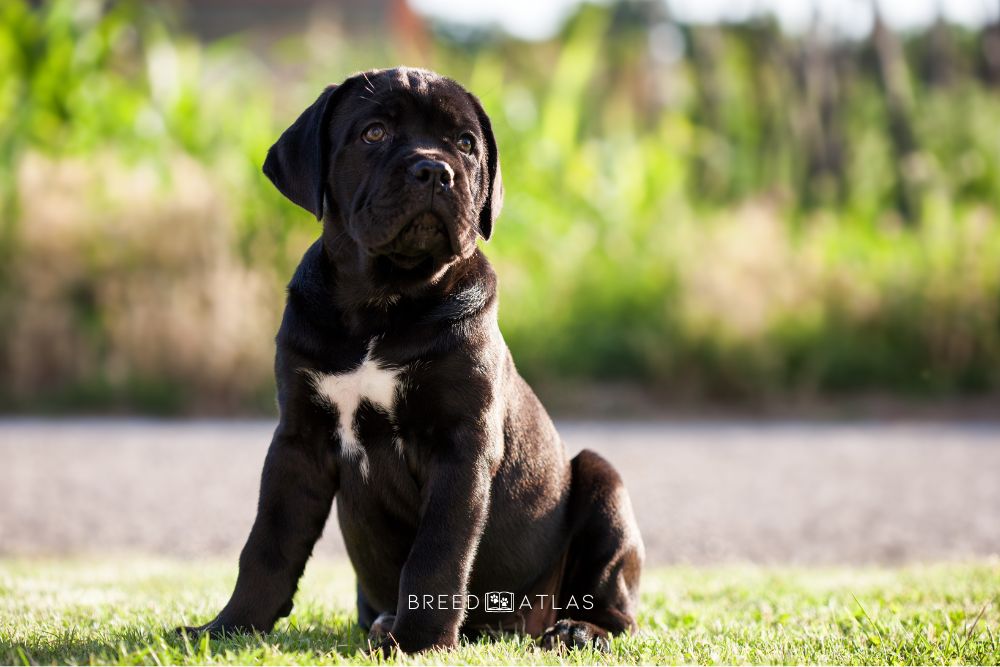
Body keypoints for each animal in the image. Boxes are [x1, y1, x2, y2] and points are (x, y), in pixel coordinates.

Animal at [180, 66, 644, 652]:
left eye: (465, 144)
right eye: (373, 133)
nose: (434, 170)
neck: (382, 303)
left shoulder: (460, 446)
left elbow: (437, 554)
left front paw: (419, 641)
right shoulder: (299, 440)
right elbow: (268, 542)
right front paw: (229, 626)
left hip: (604, 485)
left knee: (616, 606)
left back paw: (579, 628)